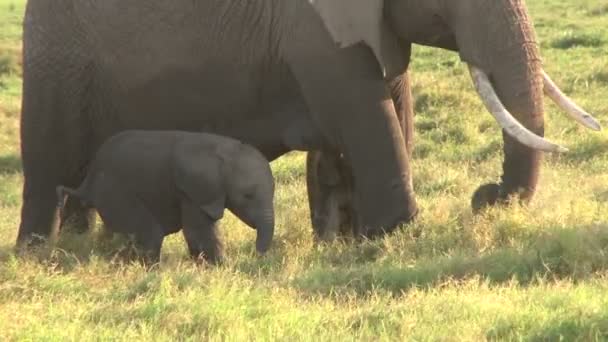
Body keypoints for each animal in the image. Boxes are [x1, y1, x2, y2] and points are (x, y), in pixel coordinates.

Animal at [57, 130, 276, 266]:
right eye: (247, 196)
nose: (256, 255)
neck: (223, 150)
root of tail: (86, 183)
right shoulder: (191, 190)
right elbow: (197, 231)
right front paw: (221, 266)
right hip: (114, 191)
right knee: (150, 234)